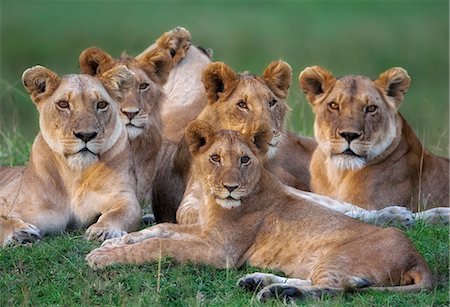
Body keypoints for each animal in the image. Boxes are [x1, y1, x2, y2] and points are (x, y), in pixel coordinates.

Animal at [0, 65, 141, 248]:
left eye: (101, 104)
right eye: (63, 104)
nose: (86, 135)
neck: (74, 174)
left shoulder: (123, 196)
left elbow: (120, 212)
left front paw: (104, 230)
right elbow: (2, 220)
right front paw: (19, 233)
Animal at [85, 121, 432, 304]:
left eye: (244, 159)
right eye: (214, 158)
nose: (230, 187)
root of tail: (419, 259)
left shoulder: (220, 251)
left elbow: (161, 244)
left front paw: (104, 257)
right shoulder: (205, 231)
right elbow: (158, 230)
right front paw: (111, 243)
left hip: (339, 257)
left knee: (339, 287)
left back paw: (280, 291)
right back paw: (259, 282)